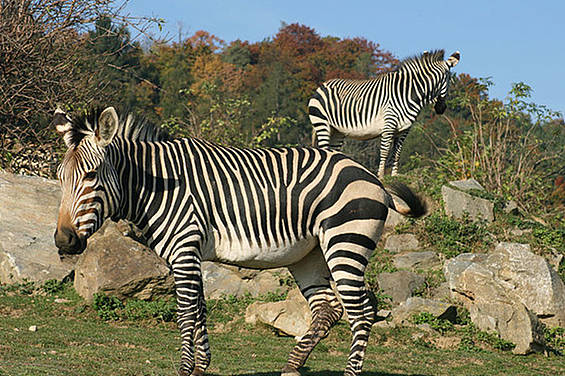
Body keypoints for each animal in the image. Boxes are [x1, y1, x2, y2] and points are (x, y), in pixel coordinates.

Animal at [53, 106, 426, 376]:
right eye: (60, 177)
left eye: (91, 175)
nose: (63, 240)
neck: (157, 185)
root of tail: (371, 178)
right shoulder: (191, 254)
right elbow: (200, 310)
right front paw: (201, 367)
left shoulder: (184, 250)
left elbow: (185, 313)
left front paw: (186, 369)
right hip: (309, 255)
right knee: (329, 308)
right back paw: (292, 366)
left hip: (344, 244)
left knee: (361, 311)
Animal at [308, 49, 458, 178]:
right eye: (449, 79)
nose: (441, 109)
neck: (409, 94)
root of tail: (322, 85)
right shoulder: (389, 124)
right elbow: (385, 152)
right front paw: (380, 175)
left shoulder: (404, 130)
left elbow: (396, 153)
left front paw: (395, 175)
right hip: (322, 123)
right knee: (324, 149)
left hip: (337, 131)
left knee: (333, 151)